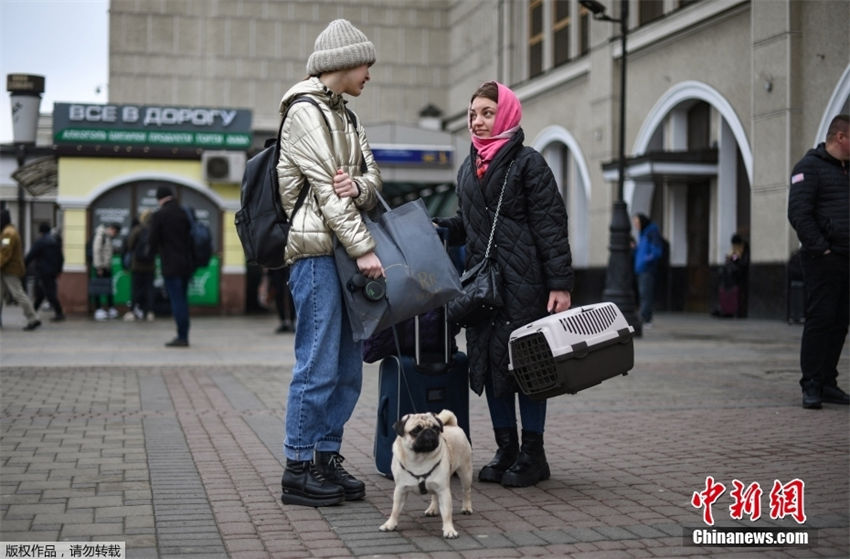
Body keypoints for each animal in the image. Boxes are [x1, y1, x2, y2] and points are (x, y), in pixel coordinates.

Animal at [376, 410, 470, 540]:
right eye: (416, 430)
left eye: (435, 428)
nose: (428, 431)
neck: (419, 458)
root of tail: (453, 426)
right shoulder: (400, 489)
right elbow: (395, 509)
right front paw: (390, 524)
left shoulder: (444, 490)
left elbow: (447, 513)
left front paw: (449, 530)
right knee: (434, 495)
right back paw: (432, 509)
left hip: (465, 472)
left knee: (466, 492)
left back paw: (467, 508)